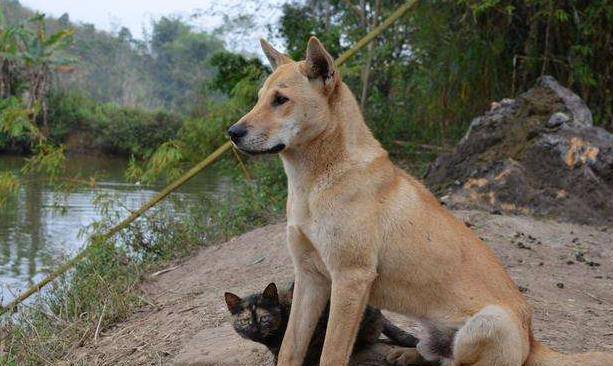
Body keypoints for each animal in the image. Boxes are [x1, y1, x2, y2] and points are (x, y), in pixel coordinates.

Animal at [227, 38, 612, 366]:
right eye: (259, 98)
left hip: (487, 323)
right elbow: (291, 347)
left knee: (457, 362)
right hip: (434, 331)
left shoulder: (350, 280)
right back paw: (406, 354)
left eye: (280, 100)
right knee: (435, 354)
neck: (318, 180)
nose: (232, 133)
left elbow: (332, 353)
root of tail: (533, 341)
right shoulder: (310, 280)